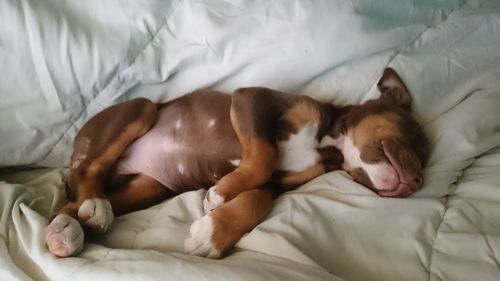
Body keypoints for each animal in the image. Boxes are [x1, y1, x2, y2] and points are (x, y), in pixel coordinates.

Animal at [44, 68, 430, 258]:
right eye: (416, 138)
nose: (417, 182)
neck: (328, 143)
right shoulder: (253, 101)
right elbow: (264, 155)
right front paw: (221, 194)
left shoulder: (279, 183)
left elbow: (258, 198)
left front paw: (212, 233)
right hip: (142, 109)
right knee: (87, 171)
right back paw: (93, 208)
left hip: (148, 187)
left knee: (70, 202)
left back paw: (67, 232)